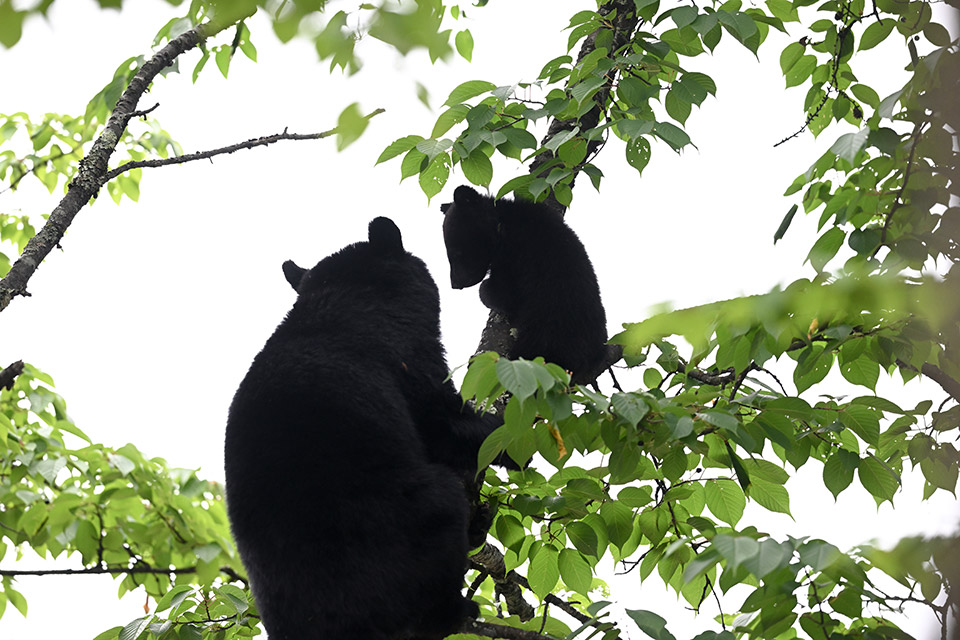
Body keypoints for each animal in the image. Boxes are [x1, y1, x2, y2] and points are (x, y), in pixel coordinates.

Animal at [227, 218, 502, 636]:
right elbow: (445, 423)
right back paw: (456, 602)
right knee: (442, 510)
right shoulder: (403, 356)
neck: (347, 298)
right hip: (402, 526)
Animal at [442, 185, 616, 384]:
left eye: (456, 252)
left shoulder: (516, 256)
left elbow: (500, 293)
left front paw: (489, 293)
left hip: (545, 336)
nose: (455, 283)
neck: (502, 224)